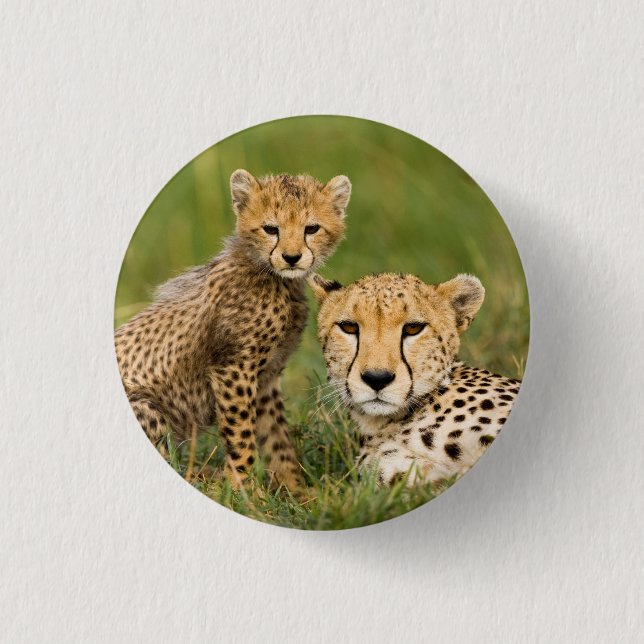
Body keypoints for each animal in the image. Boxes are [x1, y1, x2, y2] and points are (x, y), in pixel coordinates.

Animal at [115, 169, 351, 491]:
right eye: (271, 229)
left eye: (311, 228)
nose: (291, 257)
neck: (272, 277)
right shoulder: (234, 369)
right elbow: (242, 436)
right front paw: (244, 490)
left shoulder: (265, 377)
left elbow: (277, 439)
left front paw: (296, 490)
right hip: (145, 405)